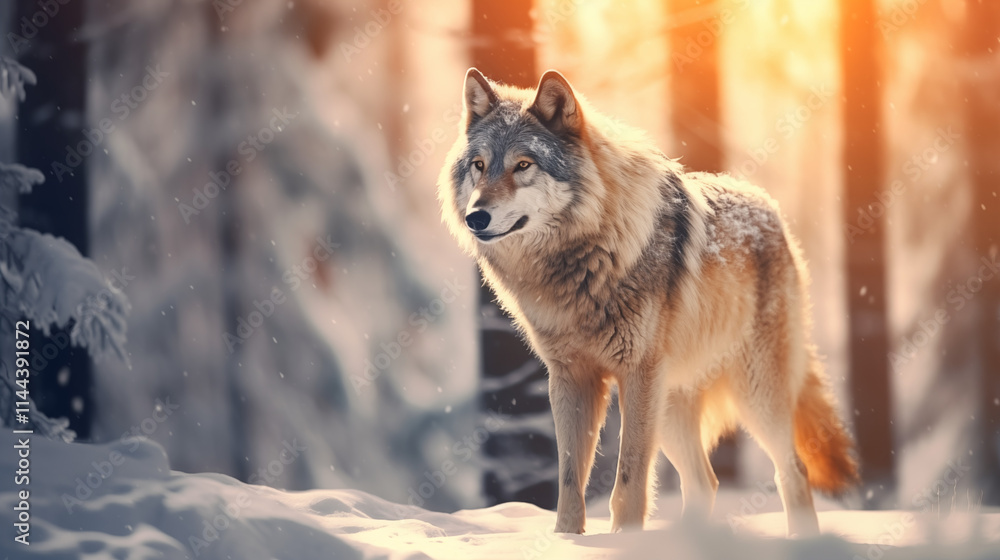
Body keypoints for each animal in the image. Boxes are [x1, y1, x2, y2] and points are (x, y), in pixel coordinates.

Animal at [437, 68, 858, 536]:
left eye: (523, 164)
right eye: (479, 165)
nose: (476, 217)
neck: (580, 262)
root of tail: (770, 208)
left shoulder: (635, 374)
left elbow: (629, 479)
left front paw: (624, 539)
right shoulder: (570, 378)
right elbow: (569, 480)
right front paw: (567, 539)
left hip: (750, 394)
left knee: (793, 472)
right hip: (672, 406)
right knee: (705, 481)